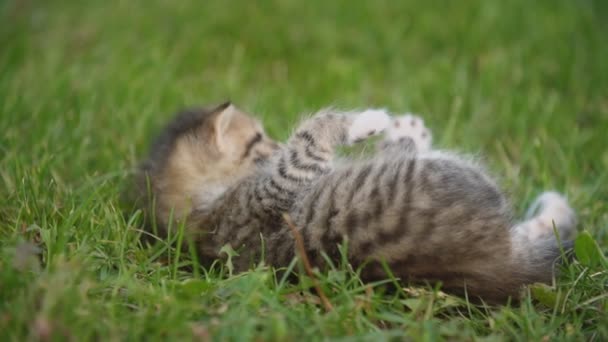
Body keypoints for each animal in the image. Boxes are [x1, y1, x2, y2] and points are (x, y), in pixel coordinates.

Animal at [135, 101, 576, 302]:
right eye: (258, 140)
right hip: (447, 172)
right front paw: (367, 122)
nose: (275, 144)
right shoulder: (273, 190)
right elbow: (311, 136)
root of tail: (497, 263)